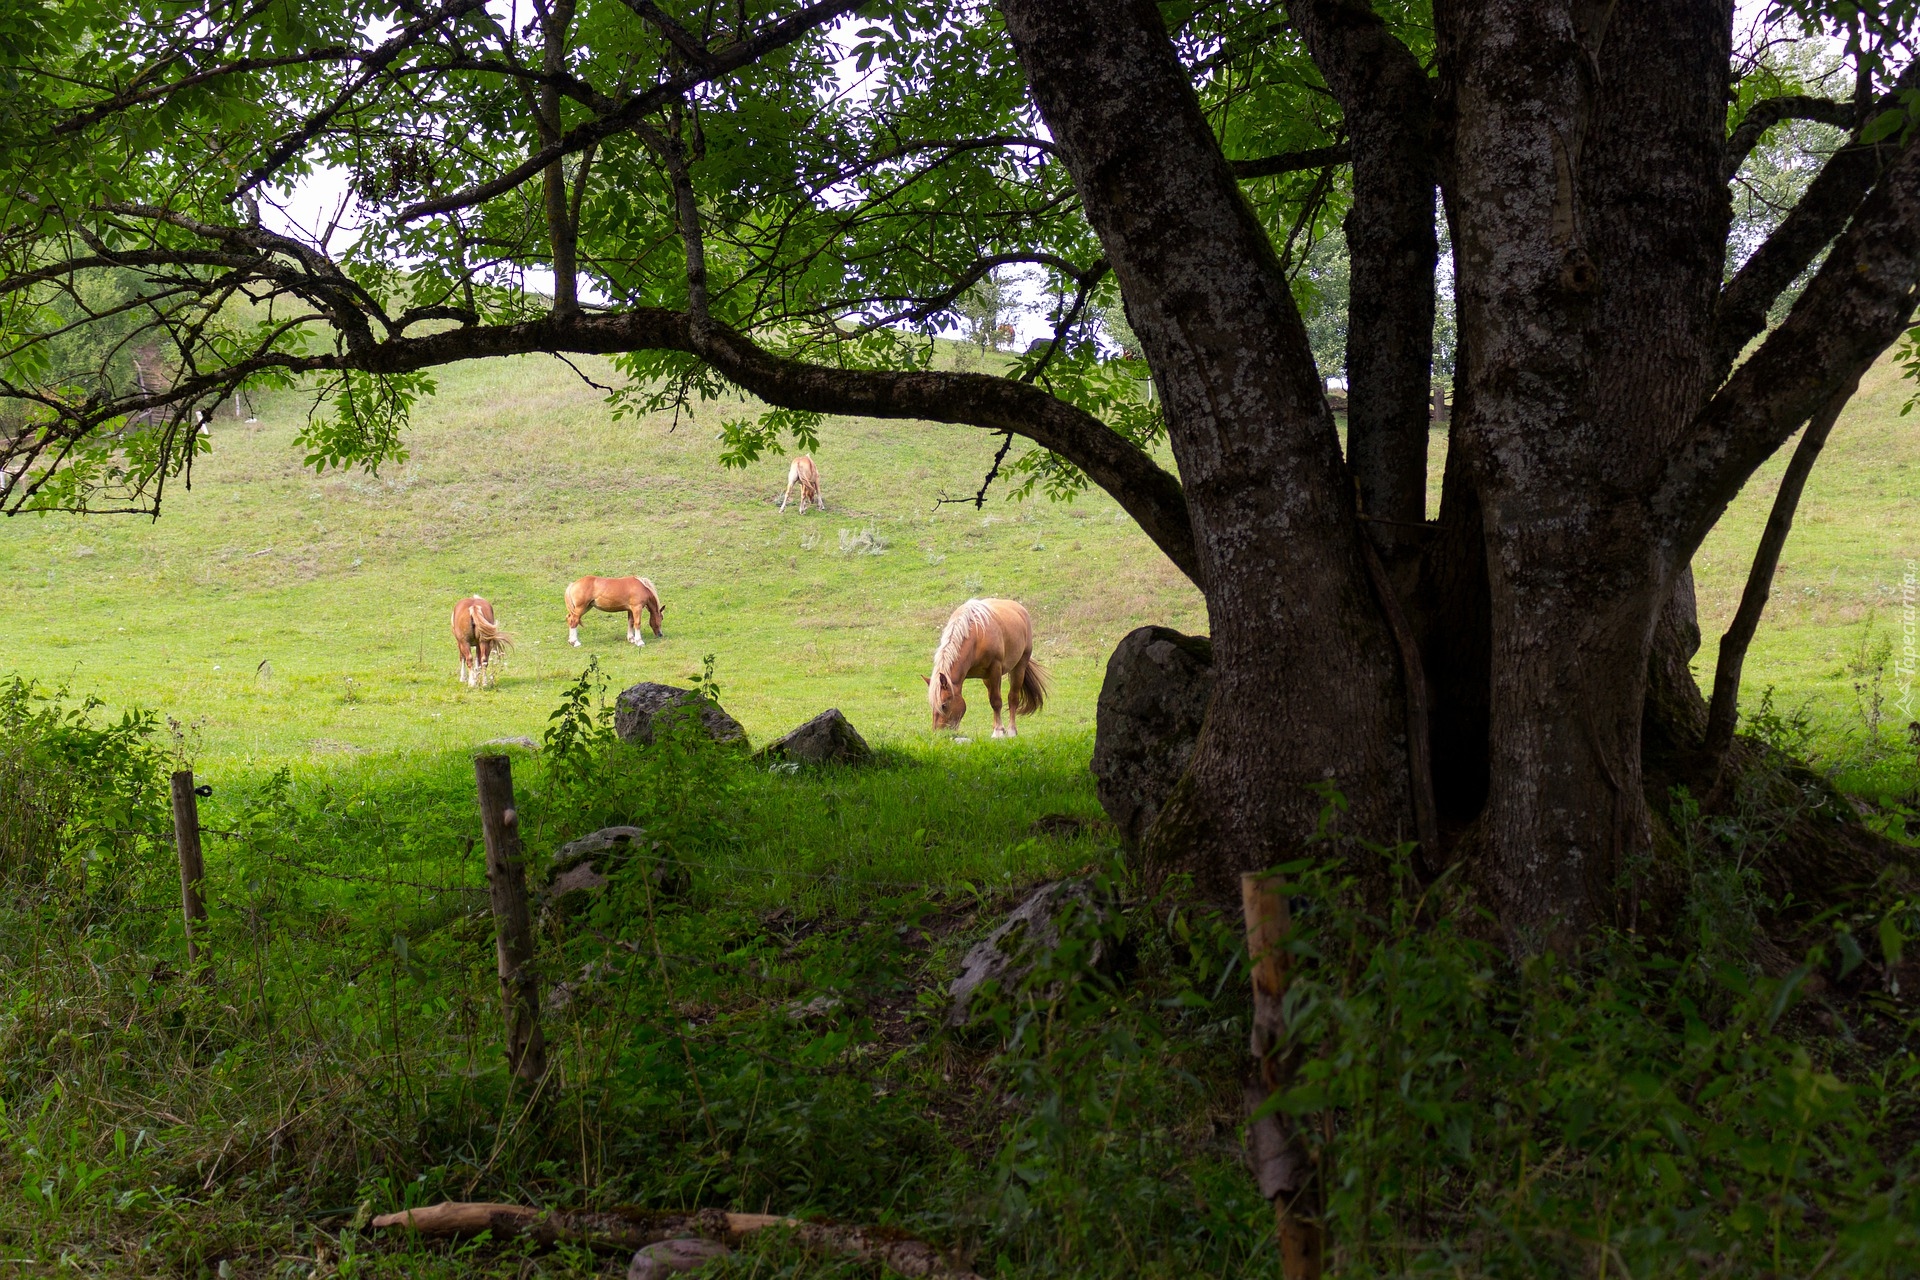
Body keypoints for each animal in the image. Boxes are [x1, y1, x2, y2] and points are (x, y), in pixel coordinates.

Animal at [925, 602, 1052, 740]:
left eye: (943, 705)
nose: (938, 734)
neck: (976, 636)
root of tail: (1019, 608)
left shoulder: (995, 669)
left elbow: (996, 701)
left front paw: (999, 732)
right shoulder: (987, 675)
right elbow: (992, 701)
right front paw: (997, 729)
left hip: (1019, 666)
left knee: (1013, 698)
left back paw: (1011, 730)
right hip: (987, 678)